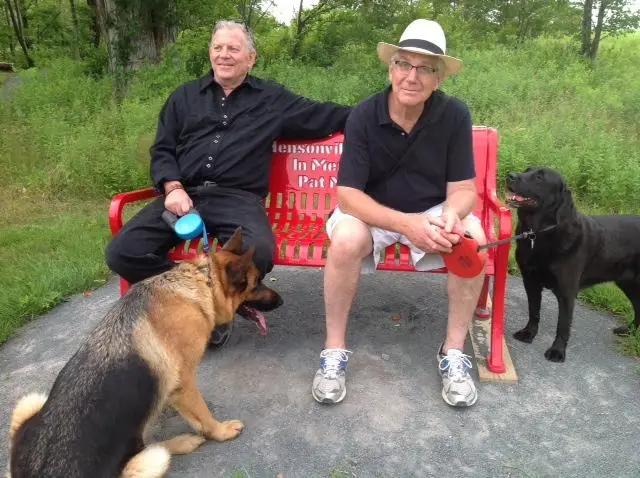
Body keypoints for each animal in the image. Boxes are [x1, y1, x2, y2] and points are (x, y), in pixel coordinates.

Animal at [7, 228, 282, 478]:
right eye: (256, 283)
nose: (280, 301)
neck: (202, 282)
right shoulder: (185, 382)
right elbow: (203, 414)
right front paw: (220, 431)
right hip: (143, 462)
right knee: (147, 453)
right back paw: (185, 441)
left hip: (30, 403)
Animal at [504, 168, 640, 362]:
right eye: (527, 170)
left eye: (540, 177)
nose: (510, 176)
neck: (541, 232)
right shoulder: (530, 281)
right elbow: (534, 310)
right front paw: (529, 333)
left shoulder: (567, 292)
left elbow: (563, 324)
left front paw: (557, 351)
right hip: (628, 283)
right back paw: (628, 331)